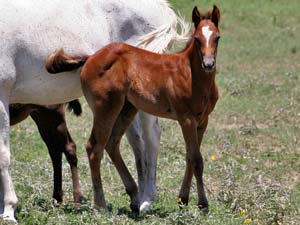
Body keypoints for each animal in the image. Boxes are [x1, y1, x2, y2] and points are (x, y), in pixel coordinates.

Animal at [47, 5, 220, 212]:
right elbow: (196, 159)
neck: (190, 74)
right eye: (197, 39)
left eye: (217, 38)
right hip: (106, 109)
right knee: (94, 147)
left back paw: (134, 196)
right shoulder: (186, 119)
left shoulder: (202, 121)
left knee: (112, 143)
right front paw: (203, 204)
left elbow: (190, 158)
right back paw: (101, 204)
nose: (208, 64)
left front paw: (183, 199)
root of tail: (90, 58)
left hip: (127, 109)